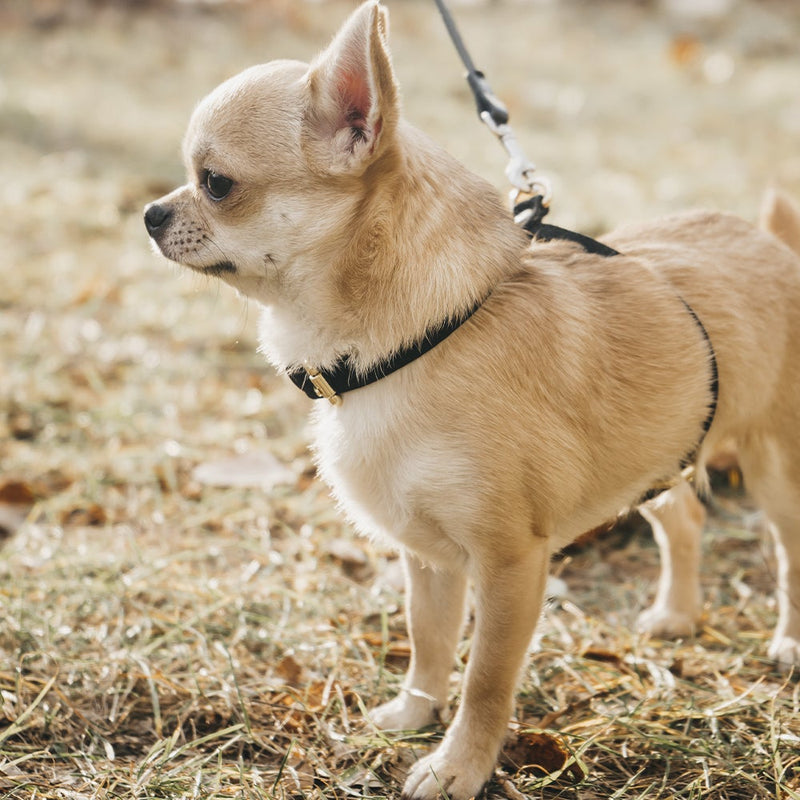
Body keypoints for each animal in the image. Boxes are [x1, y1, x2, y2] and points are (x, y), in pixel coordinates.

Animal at [144, 3, 800, 796]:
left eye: (215, 183)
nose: (149, 213)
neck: (415, 343)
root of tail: (772, 244)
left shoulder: (510, 564)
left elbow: (487, 677)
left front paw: (459, 765)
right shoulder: (427, 558)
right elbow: (428, 640)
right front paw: (413, 714)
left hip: (776, 469)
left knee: (788, 554)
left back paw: (788, 640)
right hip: (657, 453)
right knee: (684, 519)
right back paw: (675, 613)